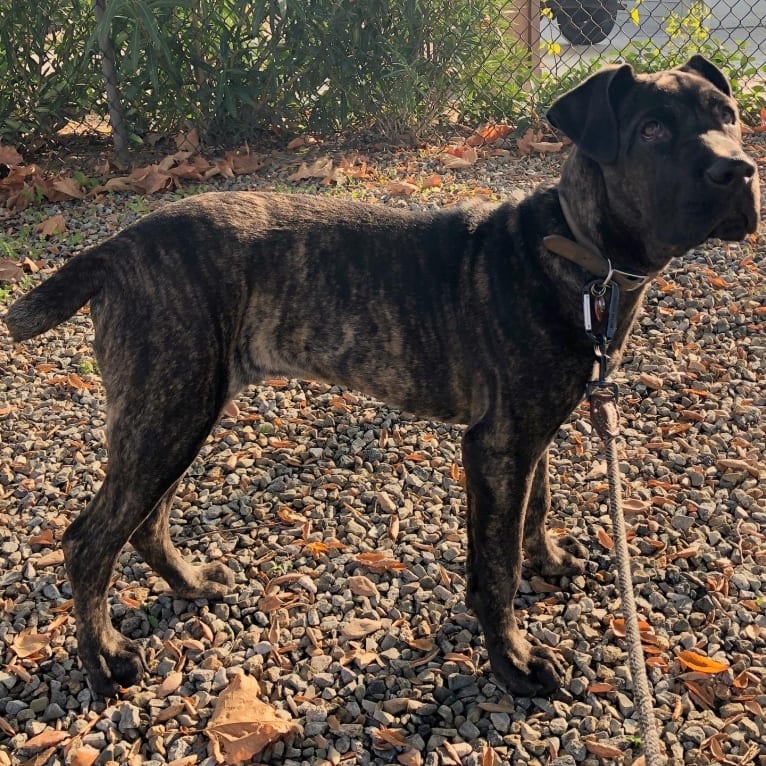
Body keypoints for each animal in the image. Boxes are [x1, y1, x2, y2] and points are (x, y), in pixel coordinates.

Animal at [6, 55, 760, 704]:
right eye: (652, 130)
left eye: (728, 116)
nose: (740, 171)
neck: (581, 254)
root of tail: (118, 246)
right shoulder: (498, 447)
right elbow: (496, 566)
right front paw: (515, 662)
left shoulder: (530, 437)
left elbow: (535, 512)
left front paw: (547, 560)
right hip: (169, 412)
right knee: (89, 541)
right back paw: (103, 658)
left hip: (181, 411)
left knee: (144, 522)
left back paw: (190, 584)